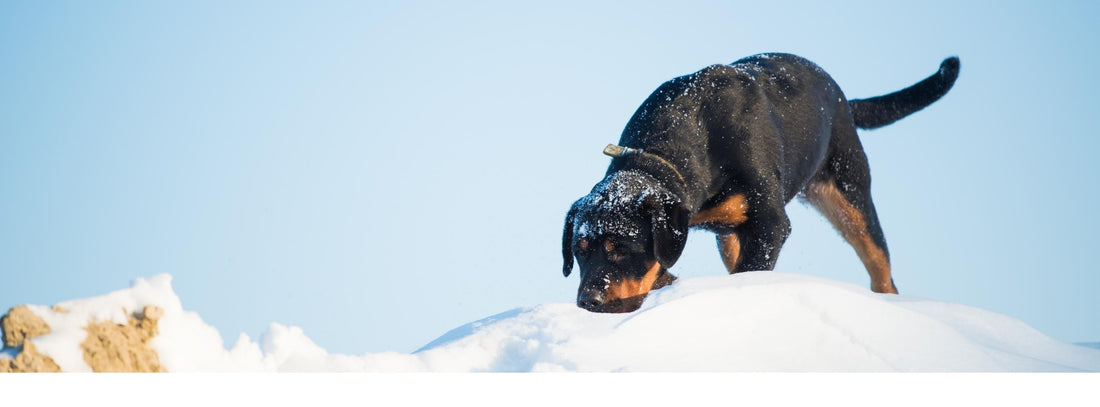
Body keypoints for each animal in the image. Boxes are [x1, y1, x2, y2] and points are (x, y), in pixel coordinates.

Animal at [563, 53, 959, 312]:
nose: (587, 302)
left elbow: (750, 268)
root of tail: (844, 99)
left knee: (880, 267)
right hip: (731, 233)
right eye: (578, 252)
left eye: (622, 249)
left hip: (850, 193)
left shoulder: (770, 221)